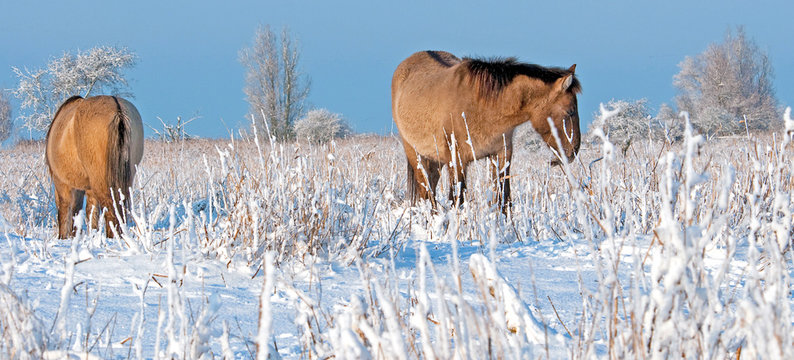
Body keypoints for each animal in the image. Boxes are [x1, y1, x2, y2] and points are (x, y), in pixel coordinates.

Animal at [45, 95, 144, 239]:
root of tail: (118, 111)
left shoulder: (62, 183)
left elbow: (65, 211)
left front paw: (63, 237)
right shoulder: (87, 188)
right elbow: (89, 213)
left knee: (110, 209)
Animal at [392, 49, 580, 210]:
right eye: (570, 111)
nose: (572, 152)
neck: (483, 106)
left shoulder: (501, 155)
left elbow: (504, 199)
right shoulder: (457, 161)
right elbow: (457, 200)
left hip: (435, 161)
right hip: (416, 156)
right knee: (427, 194)